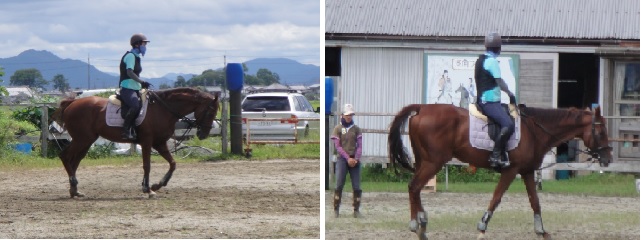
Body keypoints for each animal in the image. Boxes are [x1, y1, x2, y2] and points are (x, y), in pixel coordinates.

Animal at [53, 87, 218, 198]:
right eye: (210, 111)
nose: (204, 134)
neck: (163, 109)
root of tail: (72, 103)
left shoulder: (159, 143)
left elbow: (173, 163)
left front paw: (158, 185)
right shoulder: (147, 142)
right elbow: (147, 165)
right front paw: (148, 189)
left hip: (86, 140)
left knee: (75, 161)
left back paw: (74, 190)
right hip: (82, 139)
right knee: (65, 156)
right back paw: (73, 184)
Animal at [388, 104, 612, 239]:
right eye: (601, 132)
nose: (608, 159)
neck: (535, 130)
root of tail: (422, 108)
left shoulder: (527, 171)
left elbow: (535, 202)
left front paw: (541, 231)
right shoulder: (510, 171)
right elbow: (496, 198)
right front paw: (482, 227)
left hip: (424, 161)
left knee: (416, 188)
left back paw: (422, 224)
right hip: (433, 162)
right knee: (414, 187)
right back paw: (416, 224)